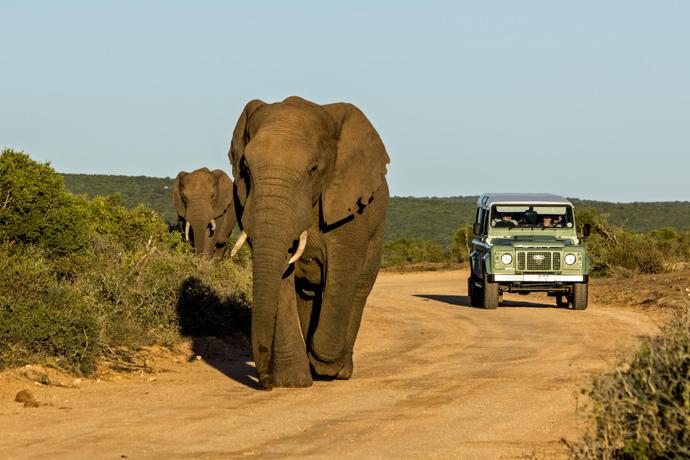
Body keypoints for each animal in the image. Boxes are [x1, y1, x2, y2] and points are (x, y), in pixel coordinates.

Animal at [228, 96, 390, 389]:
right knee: (307, 293)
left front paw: (325, 366)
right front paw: (292, 381)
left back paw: (339, 371)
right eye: (246, 169)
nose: (266, 382)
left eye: (313, 170)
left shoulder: (350, 209)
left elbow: (343, 271)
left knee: (359, 288)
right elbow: (281, 277)